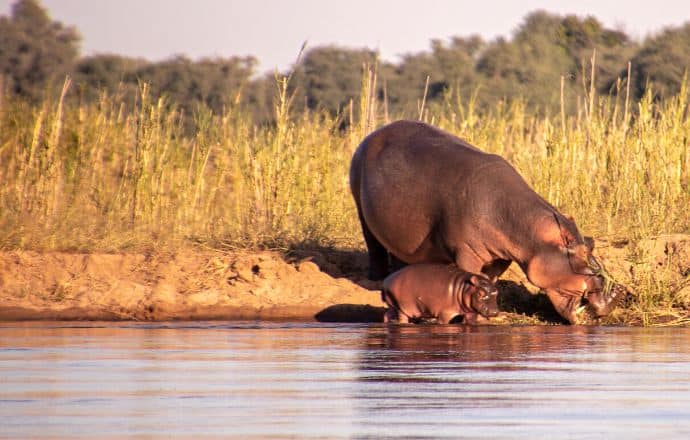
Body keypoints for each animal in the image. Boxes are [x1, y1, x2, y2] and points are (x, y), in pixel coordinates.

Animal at [350, 120, 624, 324]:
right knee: (373, 244)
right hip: (360, 206)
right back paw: (375, 277)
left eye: (591, 244)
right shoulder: (467, 253)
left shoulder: (499, 259)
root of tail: (372, 134)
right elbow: (470, 277)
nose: (612, 299)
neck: (528, 232)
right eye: (583, 257)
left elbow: (489, 281)